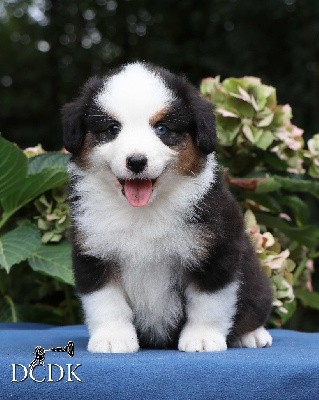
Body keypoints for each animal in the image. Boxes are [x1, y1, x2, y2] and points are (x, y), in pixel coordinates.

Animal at [62, 62, 272, 354]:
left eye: (161, 129)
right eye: (112, 128)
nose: (136, 161)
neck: (144, 211)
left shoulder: (216, 249)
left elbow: (208, 302)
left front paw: (202, 338)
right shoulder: (93, 250)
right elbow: (106, 301)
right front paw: (113, 338)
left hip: (257, 282)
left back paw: (253, 335)